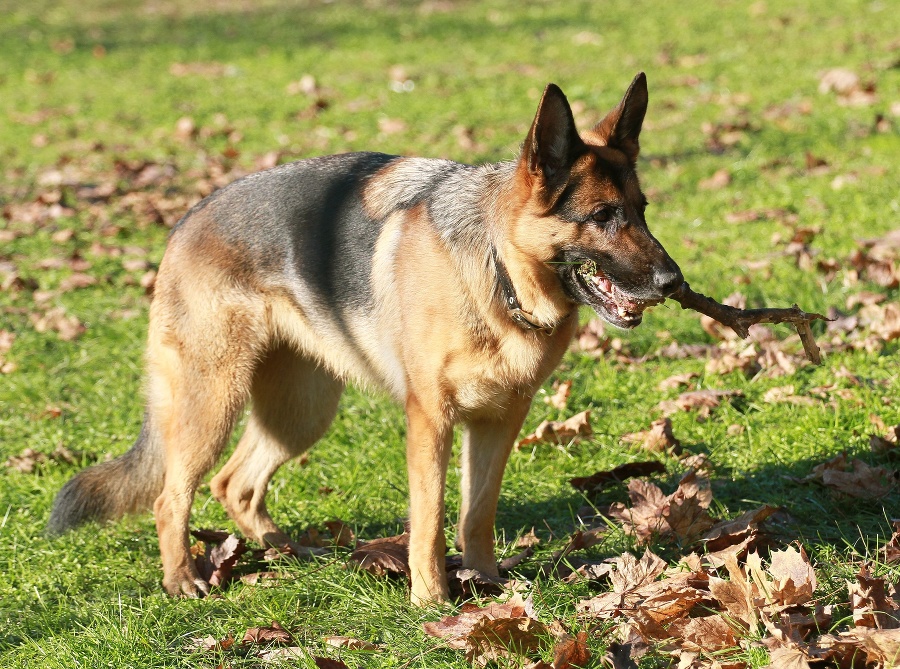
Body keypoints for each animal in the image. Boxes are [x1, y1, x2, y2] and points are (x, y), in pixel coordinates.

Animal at [49, 74, 684, 604]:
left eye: (642, 210)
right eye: (602, 216)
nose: (673, 282)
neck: (496, 269)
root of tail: (186, 220)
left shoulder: (499, 421)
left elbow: (477, 513)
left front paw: (488, 584)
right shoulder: (430, 420)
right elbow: (429, 520)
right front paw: (431, 600)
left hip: (302, 412)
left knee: (236, 483)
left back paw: (290, 552)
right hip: (214, 402)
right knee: (171, 496)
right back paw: (182, 579)